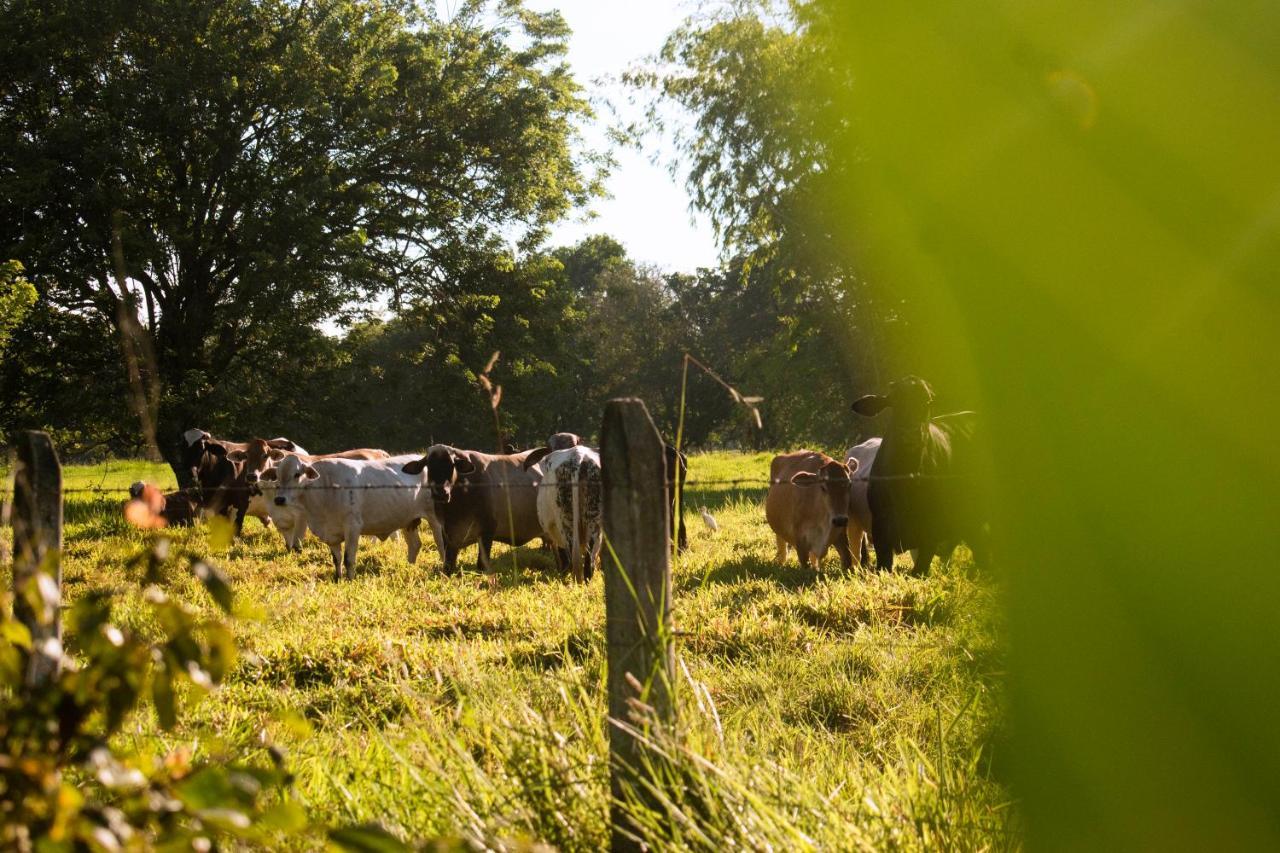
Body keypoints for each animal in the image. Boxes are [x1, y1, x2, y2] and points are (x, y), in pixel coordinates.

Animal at [257, 450, 442, 578]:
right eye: (276, 476)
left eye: (297, 474)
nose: (279, 499)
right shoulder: (331, 533)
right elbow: (336, 558)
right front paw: (338, 578)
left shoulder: (353, 527)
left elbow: (348, 558)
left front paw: (350, 579)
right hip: (408, 520)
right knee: (415, 545)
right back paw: (409, 567)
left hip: (435, 519)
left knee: (440, 543)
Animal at [401, 445, 547, 571]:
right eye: (429, 466)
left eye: (452, 465)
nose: (441, 493)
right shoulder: (447, 535)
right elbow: (448, 566)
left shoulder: (487, 531)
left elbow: (481, 565)